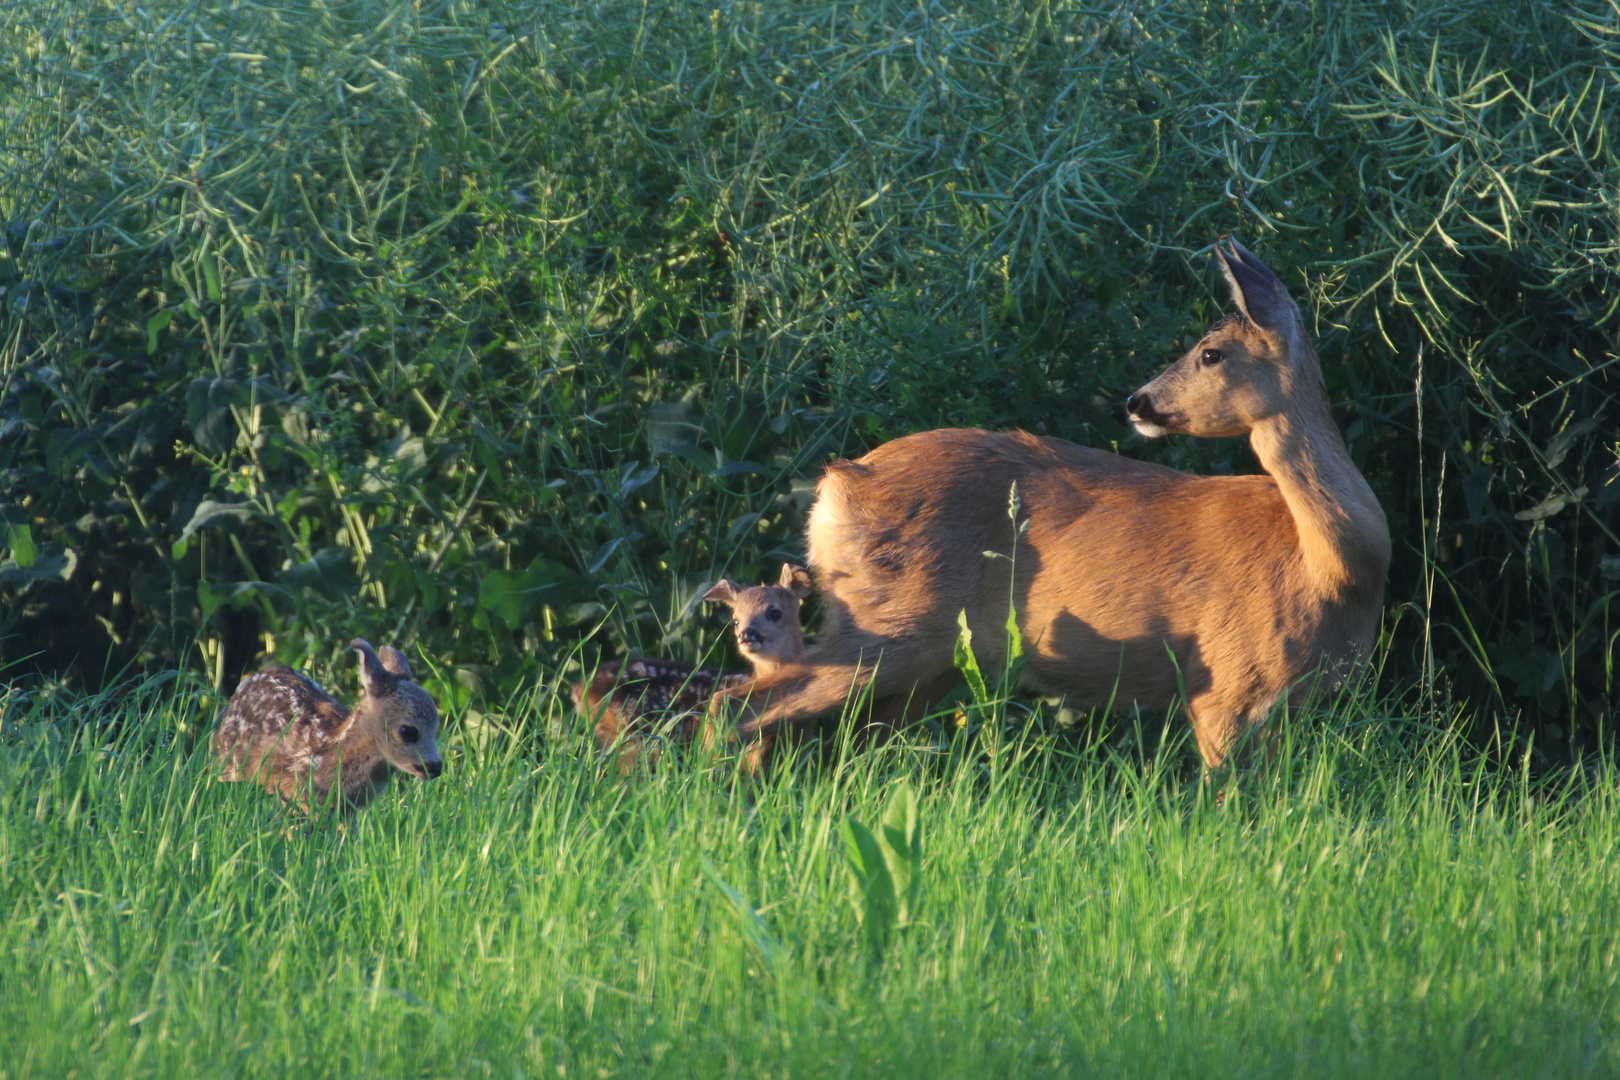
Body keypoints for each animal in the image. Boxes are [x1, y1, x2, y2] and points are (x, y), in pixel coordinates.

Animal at [719, 241, 1393, 773]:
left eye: (1210, 353)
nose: (1136, 401)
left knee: (849, 732)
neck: (1332, 571)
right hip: (889, 623)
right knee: (742, 702)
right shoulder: (1227, 682)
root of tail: (833, 487)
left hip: (928, 659)